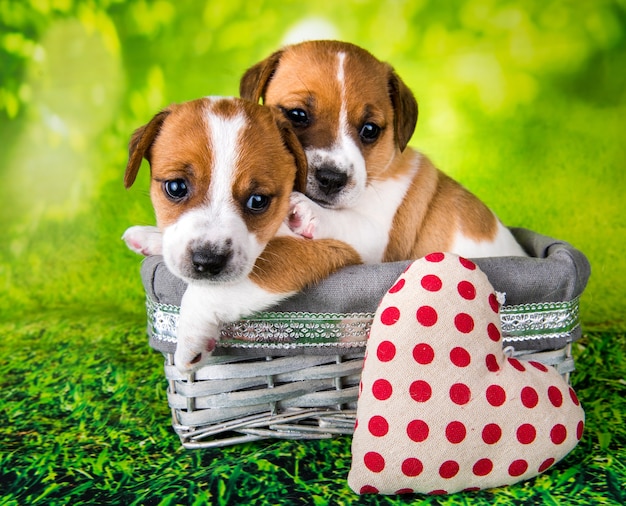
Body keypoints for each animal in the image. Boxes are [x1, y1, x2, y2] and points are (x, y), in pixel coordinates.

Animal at [122, 96, 358, 372]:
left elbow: (214, 291)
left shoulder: (321, 247)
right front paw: (149, 237)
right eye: (176, 187)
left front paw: (190, 335)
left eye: (258, 200)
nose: (207, 261)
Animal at [239, 39, 528, 260]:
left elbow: (347, 222)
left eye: (370, 130)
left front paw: (306, 210)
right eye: (297, 114)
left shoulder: (379, 238)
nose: (332, 179)